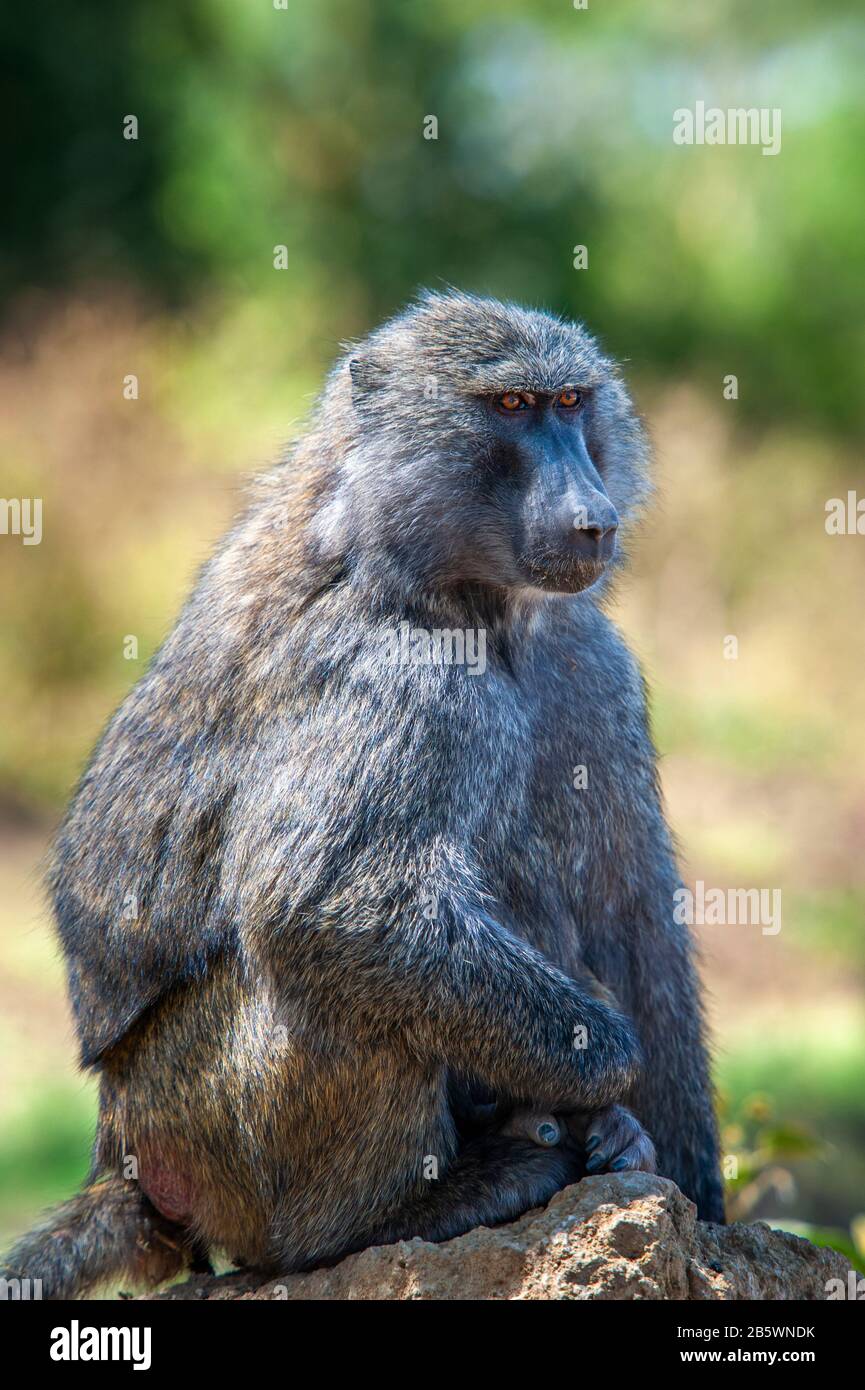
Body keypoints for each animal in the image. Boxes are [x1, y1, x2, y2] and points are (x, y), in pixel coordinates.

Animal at [1, 290, 723, 1299]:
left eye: (571, 402)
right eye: (510, 407)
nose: (592, 519)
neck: (455, 595)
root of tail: (121, 1158)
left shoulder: (594, 665)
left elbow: (632, 915)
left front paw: (687, 1181)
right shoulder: (399, 676)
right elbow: (329, 904)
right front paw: (603, 1076)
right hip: (204, 1127)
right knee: (327, 978)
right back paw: (403, 1213)